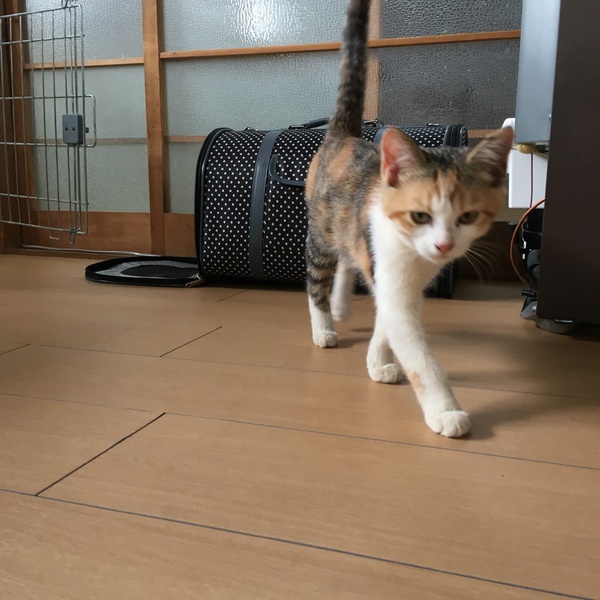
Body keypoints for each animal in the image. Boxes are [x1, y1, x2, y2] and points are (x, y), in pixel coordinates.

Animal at [304, 0, 513, 438]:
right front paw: (445, 409)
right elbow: (416, 351)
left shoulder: (401, 276)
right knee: (318, 274)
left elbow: (387, 318)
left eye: (467, 216)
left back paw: (342, 305)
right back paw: (324, 325)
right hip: (321, 228)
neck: (413, 254)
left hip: (352, 230)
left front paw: (377, 361)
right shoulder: (389, 265)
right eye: (420, 215)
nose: (443, 245)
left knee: (349, 258)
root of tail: (343, 137)